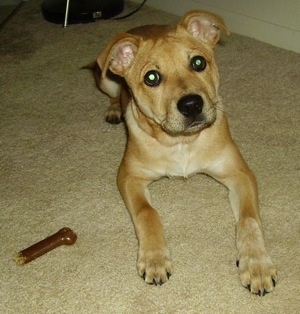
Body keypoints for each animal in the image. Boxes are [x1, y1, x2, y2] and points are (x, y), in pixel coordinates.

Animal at [91, 9, 276, 294]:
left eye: (198, 62)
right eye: (151, 77)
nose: (191, 105)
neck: (182, 143)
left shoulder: (240, 173)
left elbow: (248, 219)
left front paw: (257, 264)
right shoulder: (129, 177)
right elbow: (147, 213)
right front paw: (154, 259)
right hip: (105, 79)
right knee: (112, 95)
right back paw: (113, 110)